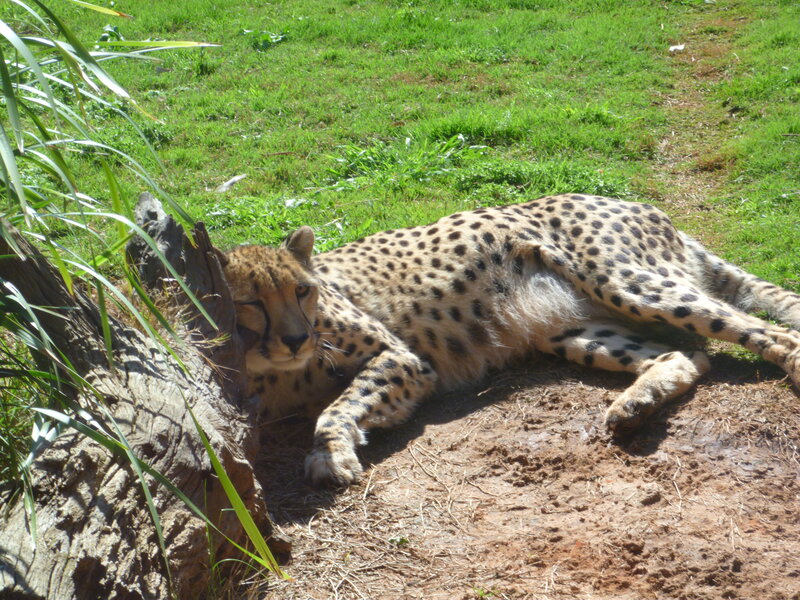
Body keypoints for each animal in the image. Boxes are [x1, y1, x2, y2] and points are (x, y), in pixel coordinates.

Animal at [221, 194, 800, 487]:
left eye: (302, 290)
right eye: (251, 302)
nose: (297, 339)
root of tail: (635, 200)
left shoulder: (404, 359)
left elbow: (337, 406)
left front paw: (330, 455)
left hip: (627, 281)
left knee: (770, 332)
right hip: (567, 329)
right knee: (686, 355)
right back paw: (635, 406)